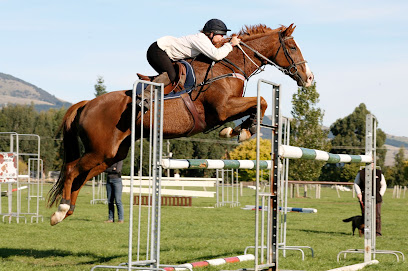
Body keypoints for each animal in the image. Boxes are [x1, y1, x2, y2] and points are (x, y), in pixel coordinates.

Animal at [48, 23, 316, 225]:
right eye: (292, 47)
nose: (309, 78)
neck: (227, 65)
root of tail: (86, 103)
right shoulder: (223, 108)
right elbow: (261, 101)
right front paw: (241, 131)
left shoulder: (228, 109)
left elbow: (256, 106)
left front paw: (238, 130)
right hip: (100, 150)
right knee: (72, 170)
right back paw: (60, 211)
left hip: (111, 154)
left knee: (82, 174)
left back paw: (67, 210)